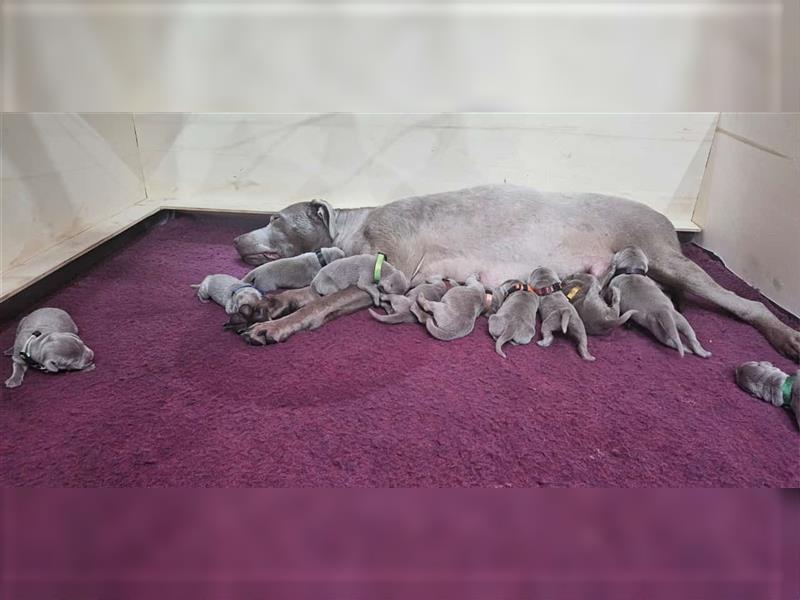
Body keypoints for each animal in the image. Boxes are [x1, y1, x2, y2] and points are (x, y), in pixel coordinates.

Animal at [231, 183, 800, 360]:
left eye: (274, 219)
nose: (235, 240)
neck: (356, 224)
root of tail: (666, 218)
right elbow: (308, 290)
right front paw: (266, 304)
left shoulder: (387, 271)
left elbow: (322, 301)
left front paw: (275, 325)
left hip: (668, 257)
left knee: (746, 303)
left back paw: (786, 337)